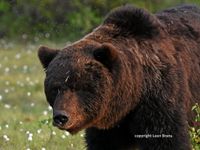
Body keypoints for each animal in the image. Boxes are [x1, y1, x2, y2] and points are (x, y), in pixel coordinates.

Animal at [38, 4, 200, 149]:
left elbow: (167, 138)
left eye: (79, 87)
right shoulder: (109, 124)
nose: (61, 117)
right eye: (55, 88)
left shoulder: (161, 92)